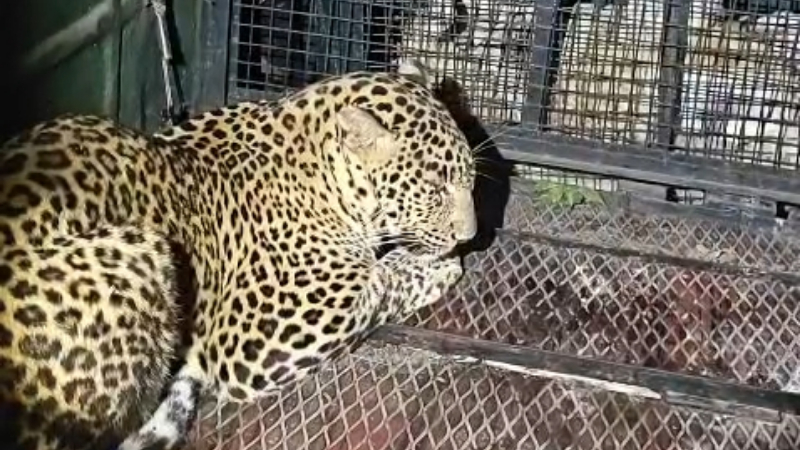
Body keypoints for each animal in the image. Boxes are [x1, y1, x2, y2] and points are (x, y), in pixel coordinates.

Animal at [0, 61, 477, 450]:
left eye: (470, 177)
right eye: (435, 187)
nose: (470, 236)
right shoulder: (260, 340)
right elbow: (380, 282)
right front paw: (435, 267)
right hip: (136, 254)